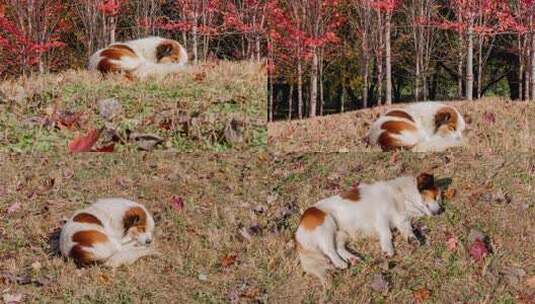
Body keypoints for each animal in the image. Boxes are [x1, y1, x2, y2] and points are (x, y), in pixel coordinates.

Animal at [296, 175, 442, 284]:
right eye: (435, 197)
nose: (441, 211)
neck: (402, 195)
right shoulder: (382, 216)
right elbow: (387, 233)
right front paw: (388, 249)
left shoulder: (402, 221)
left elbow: (408, 231)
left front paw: (413, 239)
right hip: (326, 225)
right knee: (329, 249)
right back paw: (340, 263)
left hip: (341, 233)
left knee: (338, 247)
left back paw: (352, 258)